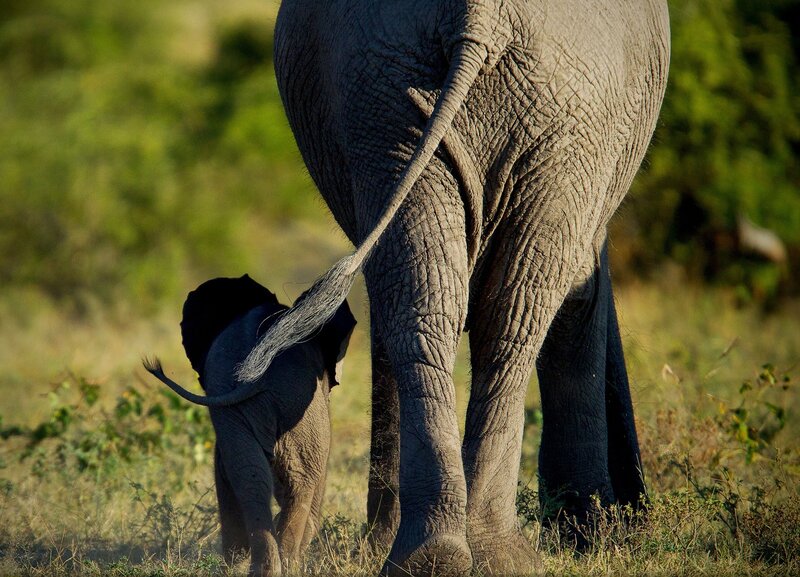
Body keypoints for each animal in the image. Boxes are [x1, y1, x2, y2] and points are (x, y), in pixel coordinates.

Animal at [144, 275, 356, 576]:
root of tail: (259, 371)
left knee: (253, 478)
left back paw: (263, 566)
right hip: (299, 404)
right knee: (298, 479)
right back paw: (284, 564)